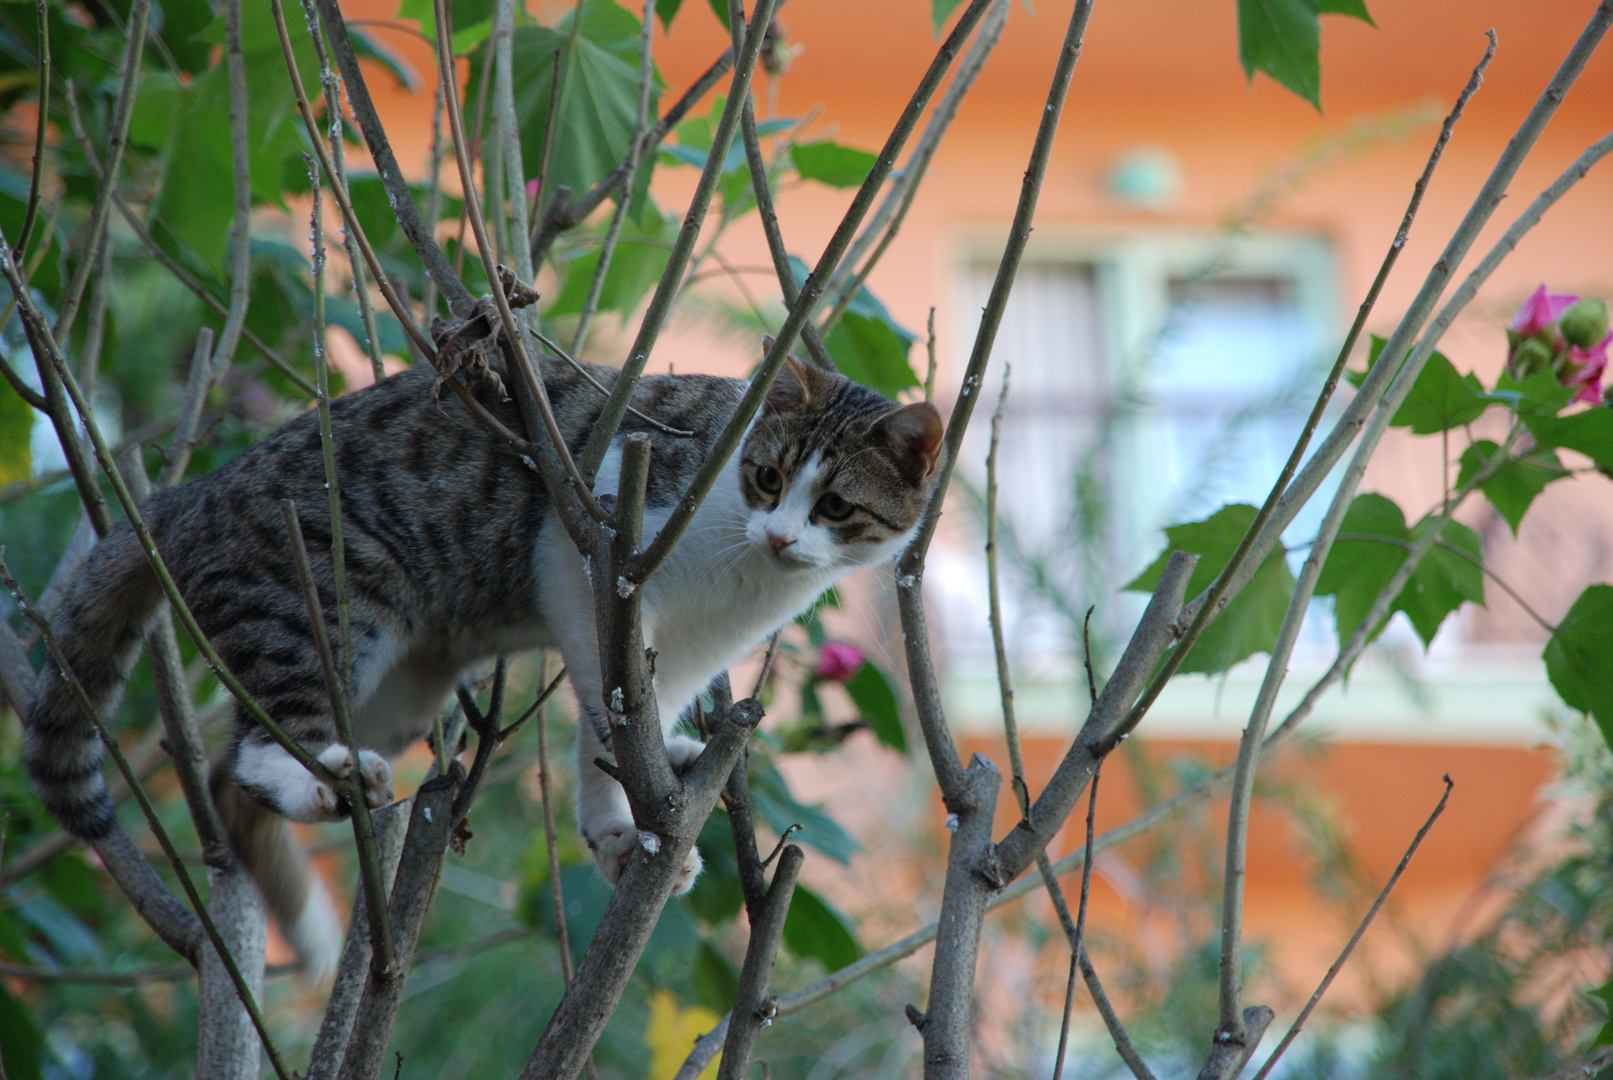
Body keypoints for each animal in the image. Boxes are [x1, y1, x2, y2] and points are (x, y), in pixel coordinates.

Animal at [25, 351, 941, 980]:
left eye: (834, 506)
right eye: (766, 477)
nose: (781, 537)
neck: (748, 577)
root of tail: (196, 492)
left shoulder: (701, 641)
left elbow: (640, 712)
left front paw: (636, 810)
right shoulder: (586, 559)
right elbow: (612, 704)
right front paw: (624, 802)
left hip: (401, 684)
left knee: (222, 775)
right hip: (323, 601)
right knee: (257, 743)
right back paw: (317, 778)